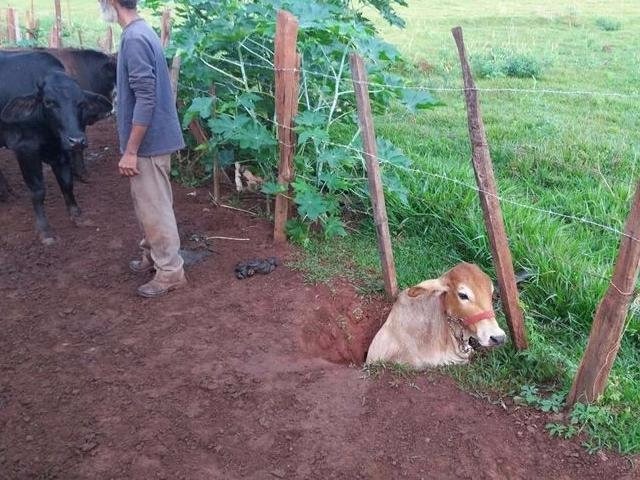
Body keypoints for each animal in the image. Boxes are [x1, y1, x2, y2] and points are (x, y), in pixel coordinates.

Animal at [0, 51, 112, 244]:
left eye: (81, 102)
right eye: (48, 102)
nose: (77, 140)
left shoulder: (62, 150)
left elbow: (67, 183)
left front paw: (77, 215)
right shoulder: (25, 149)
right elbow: (38, 190)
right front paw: (44, 230)